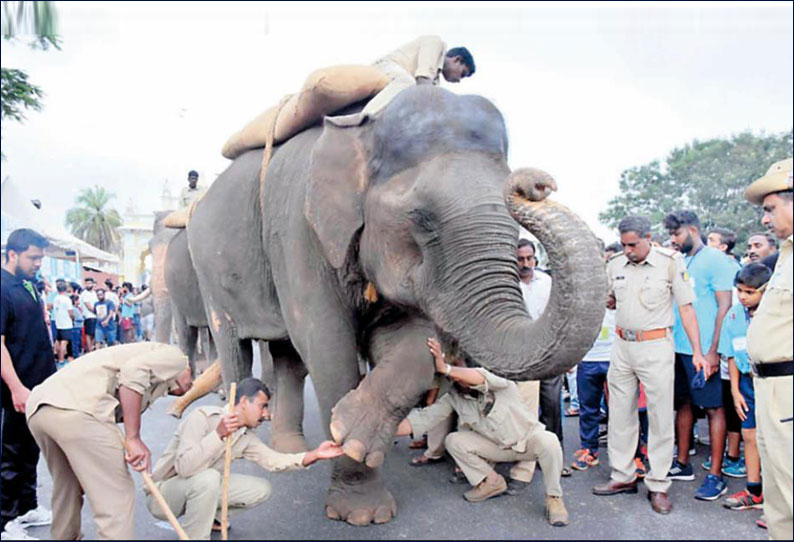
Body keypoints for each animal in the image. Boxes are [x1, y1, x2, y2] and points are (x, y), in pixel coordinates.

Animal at [186, 86, 608, 528]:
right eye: (422, 220)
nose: (537, 183)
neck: (364, 125)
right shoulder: (298, 232)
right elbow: (326, 343)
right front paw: (359, 506)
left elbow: (410, 339)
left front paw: (353, 434)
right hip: (207, 267)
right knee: (236, 348)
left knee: (287, 354)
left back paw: (288, 447)